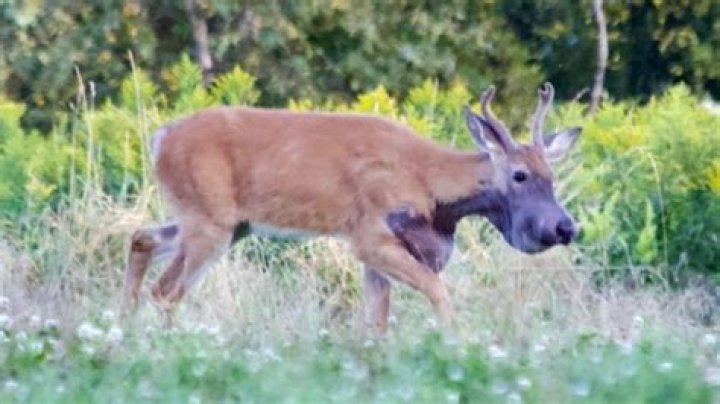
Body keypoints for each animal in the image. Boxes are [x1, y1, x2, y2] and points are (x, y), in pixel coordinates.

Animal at [124, 83, 581, 334]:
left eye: (552, 176)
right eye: (520, 175)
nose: (565, 228)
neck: (430, 186)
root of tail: (161, 139)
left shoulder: (377, 256)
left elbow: (376, 323)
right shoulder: (371, 236)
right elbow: (436, 292)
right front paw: (457, 346)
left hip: (225, 223)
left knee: (142, 239)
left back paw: (122, 331)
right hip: (211, 222)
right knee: (166, 291)